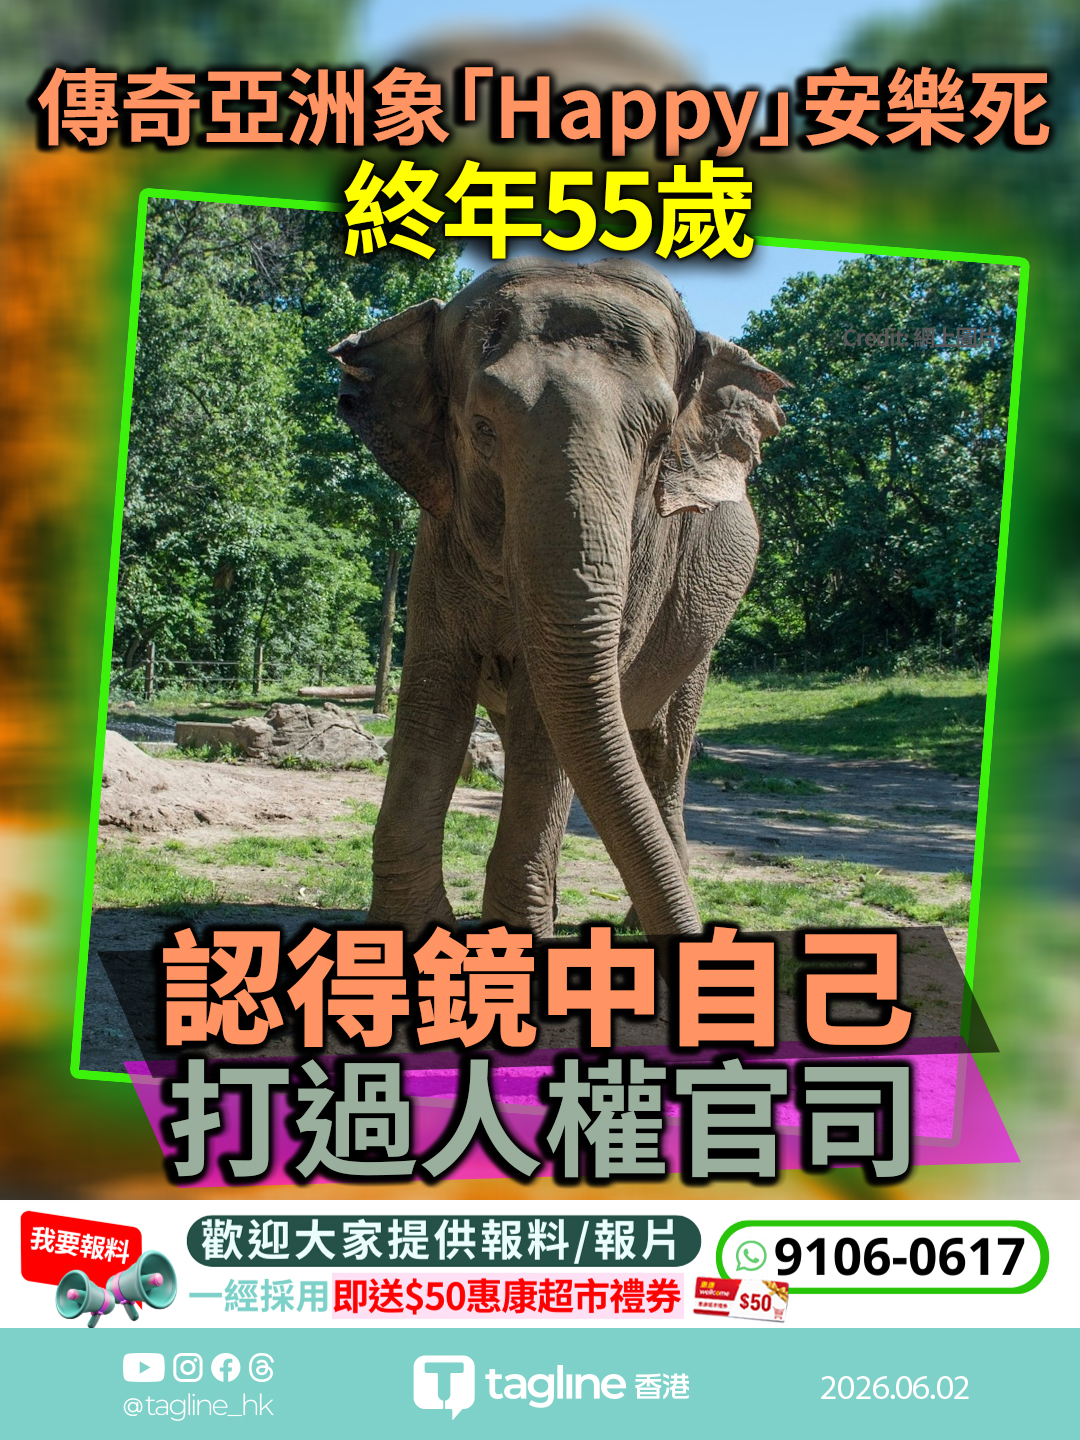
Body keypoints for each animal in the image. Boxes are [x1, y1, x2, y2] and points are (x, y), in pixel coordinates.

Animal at [331, 257, 788, 939]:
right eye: (480, 429)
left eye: (659, 442)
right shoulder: (436, 542)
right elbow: (432, 702)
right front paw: (411, 935)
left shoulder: (645, 562)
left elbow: (545, 726)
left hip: (700, 632)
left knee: (661, 752)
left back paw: (631, 922)